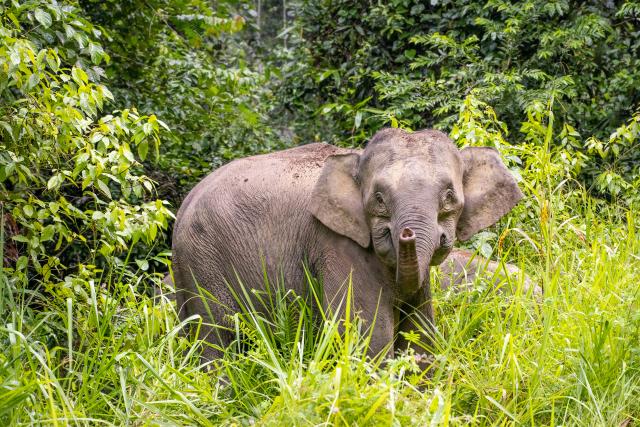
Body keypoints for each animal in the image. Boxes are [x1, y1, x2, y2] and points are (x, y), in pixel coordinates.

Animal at [171, 128, 524, 362]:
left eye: (449, 196)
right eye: (378, 199)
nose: (406, 234)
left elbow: (420, 333)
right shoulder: (337, 245)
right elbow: (369, 335)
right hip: (205, 263)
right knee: (216, 338)